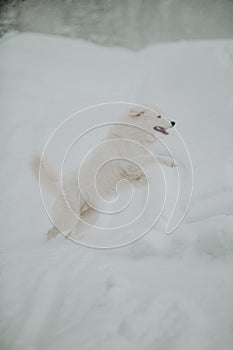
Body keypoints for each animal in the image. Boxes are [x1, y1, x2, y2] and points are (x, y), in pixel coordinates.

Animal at [31, 105, 177, 239]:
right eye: (158, 116)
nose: (173, 122)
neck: (133, 135)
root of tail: (60, 181)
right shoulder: (131, 163)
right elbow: (153, 157)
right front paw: (171, 162)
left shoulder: (130, 170)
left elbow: (141, 177)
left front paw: (143, 180)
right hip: (69, 217)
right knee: (55, 230)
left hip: (89, 218)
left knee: (69, 233)